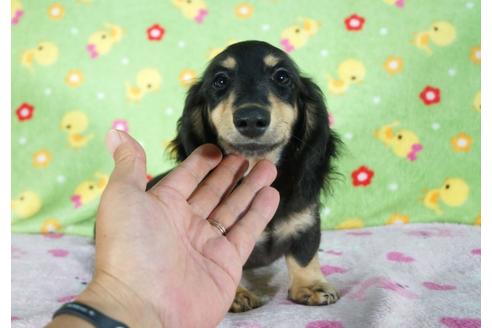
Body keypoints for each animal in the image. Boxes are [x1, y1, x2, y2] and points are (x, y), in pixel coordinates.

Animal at [148, 39, 340, 312]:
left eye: (282, 76)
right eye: (219, 81)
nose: (250, 119)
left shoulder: (306, 222)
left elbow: (304, 256)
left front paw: (311, 286)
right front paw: (237, 294)